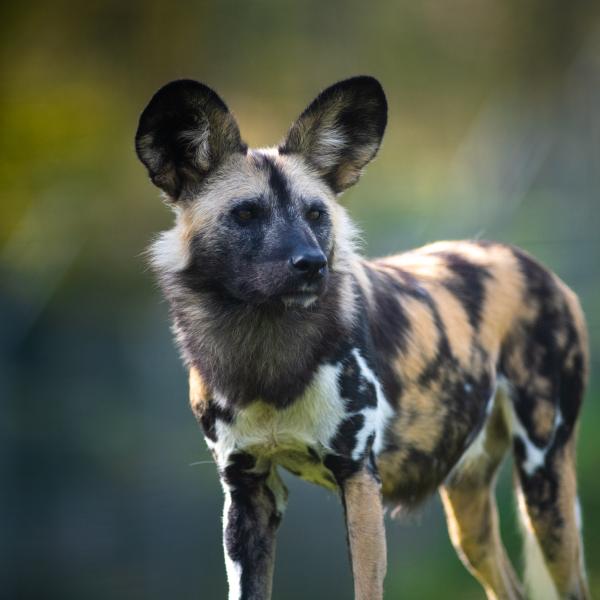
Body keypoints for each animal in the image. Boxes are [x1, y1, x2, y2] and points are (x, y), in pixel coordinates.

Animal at [134, 77, 588, 596]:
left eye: (316, 213)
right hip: (469, 511)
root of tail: (535, 265)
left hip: (544, 480)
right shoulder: (247, 489)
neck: (267, 354)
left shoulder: (358, 477)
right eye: (246, 213)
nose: (312, 264)